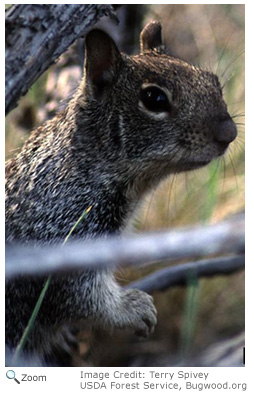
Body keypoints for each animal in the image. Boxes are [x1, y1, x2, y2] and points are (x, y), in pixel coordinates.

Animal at [5, 20, 236, 362]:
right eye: (154, 98)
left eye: (214, 82)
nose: (229, 133)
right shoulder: (61, 236)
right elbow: (82, 296)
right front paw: (134, 309)